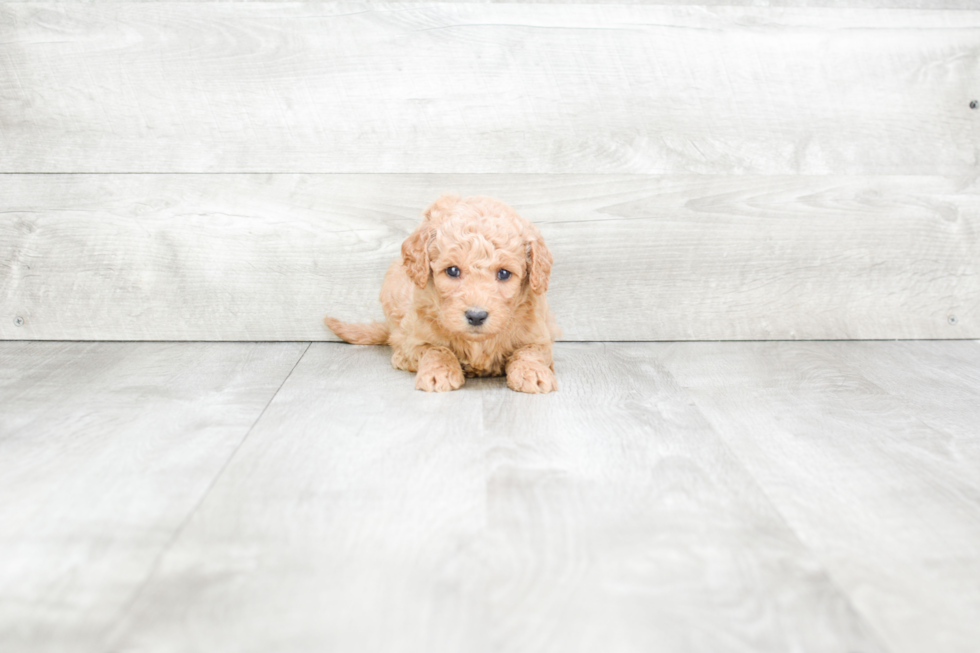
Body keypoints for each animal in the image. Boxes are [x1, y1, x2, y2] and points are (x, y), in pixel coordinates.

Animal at [326, 192, 560, 392]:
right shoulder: (416, 337)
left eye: (504, 273)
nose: (476, 316)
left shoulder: (540, 336)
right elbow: (436, 349)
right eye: (453, 271)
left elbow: (529, 351)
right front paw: (439, 373)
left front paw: (532, 373)